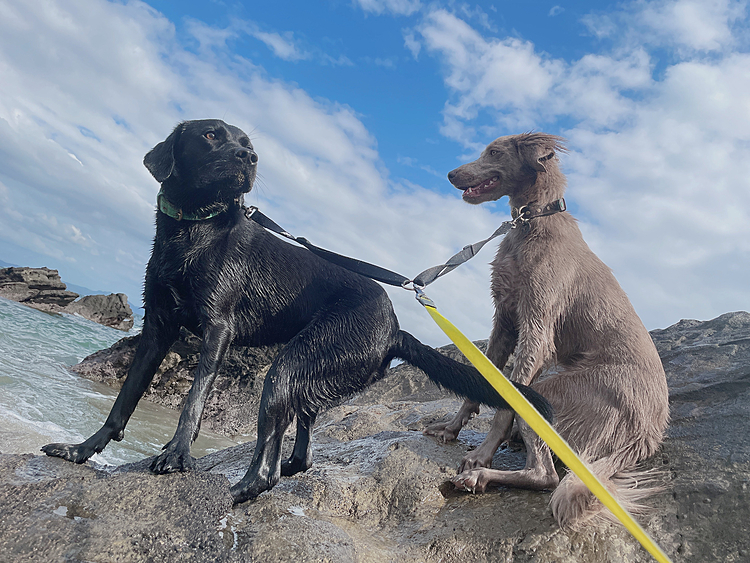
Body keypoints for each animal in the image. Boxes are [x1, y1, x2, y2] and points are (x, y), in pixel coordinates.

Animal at [44, 119, 556, 502]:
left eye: (248, 146)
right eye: (210, 135)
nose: (249, 159)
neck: (195, 229)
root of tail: (396, 328)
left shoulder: (217, 330)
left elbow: (193, 399)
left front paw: (176, 455)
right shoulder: (156, 329)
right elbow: (123, 402)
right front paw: (81, 450)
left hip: (288, 367)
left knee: (269, 454)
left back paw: (239, 489)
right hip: (311, 368)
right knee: (298, 441)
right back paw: (287, 467)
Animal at [426, 133, 672, 528]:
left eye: (494, 152)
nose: (450, 174)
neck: (531, 223)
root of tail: (649, 430)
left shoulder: (537, 329)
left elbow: (504, 407)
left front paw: (481, 454)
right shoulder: (504, 321)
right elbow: (479, 384)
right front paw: (451, 426)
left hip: (547, 395)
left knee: (545, 476)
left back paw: (480, 475)